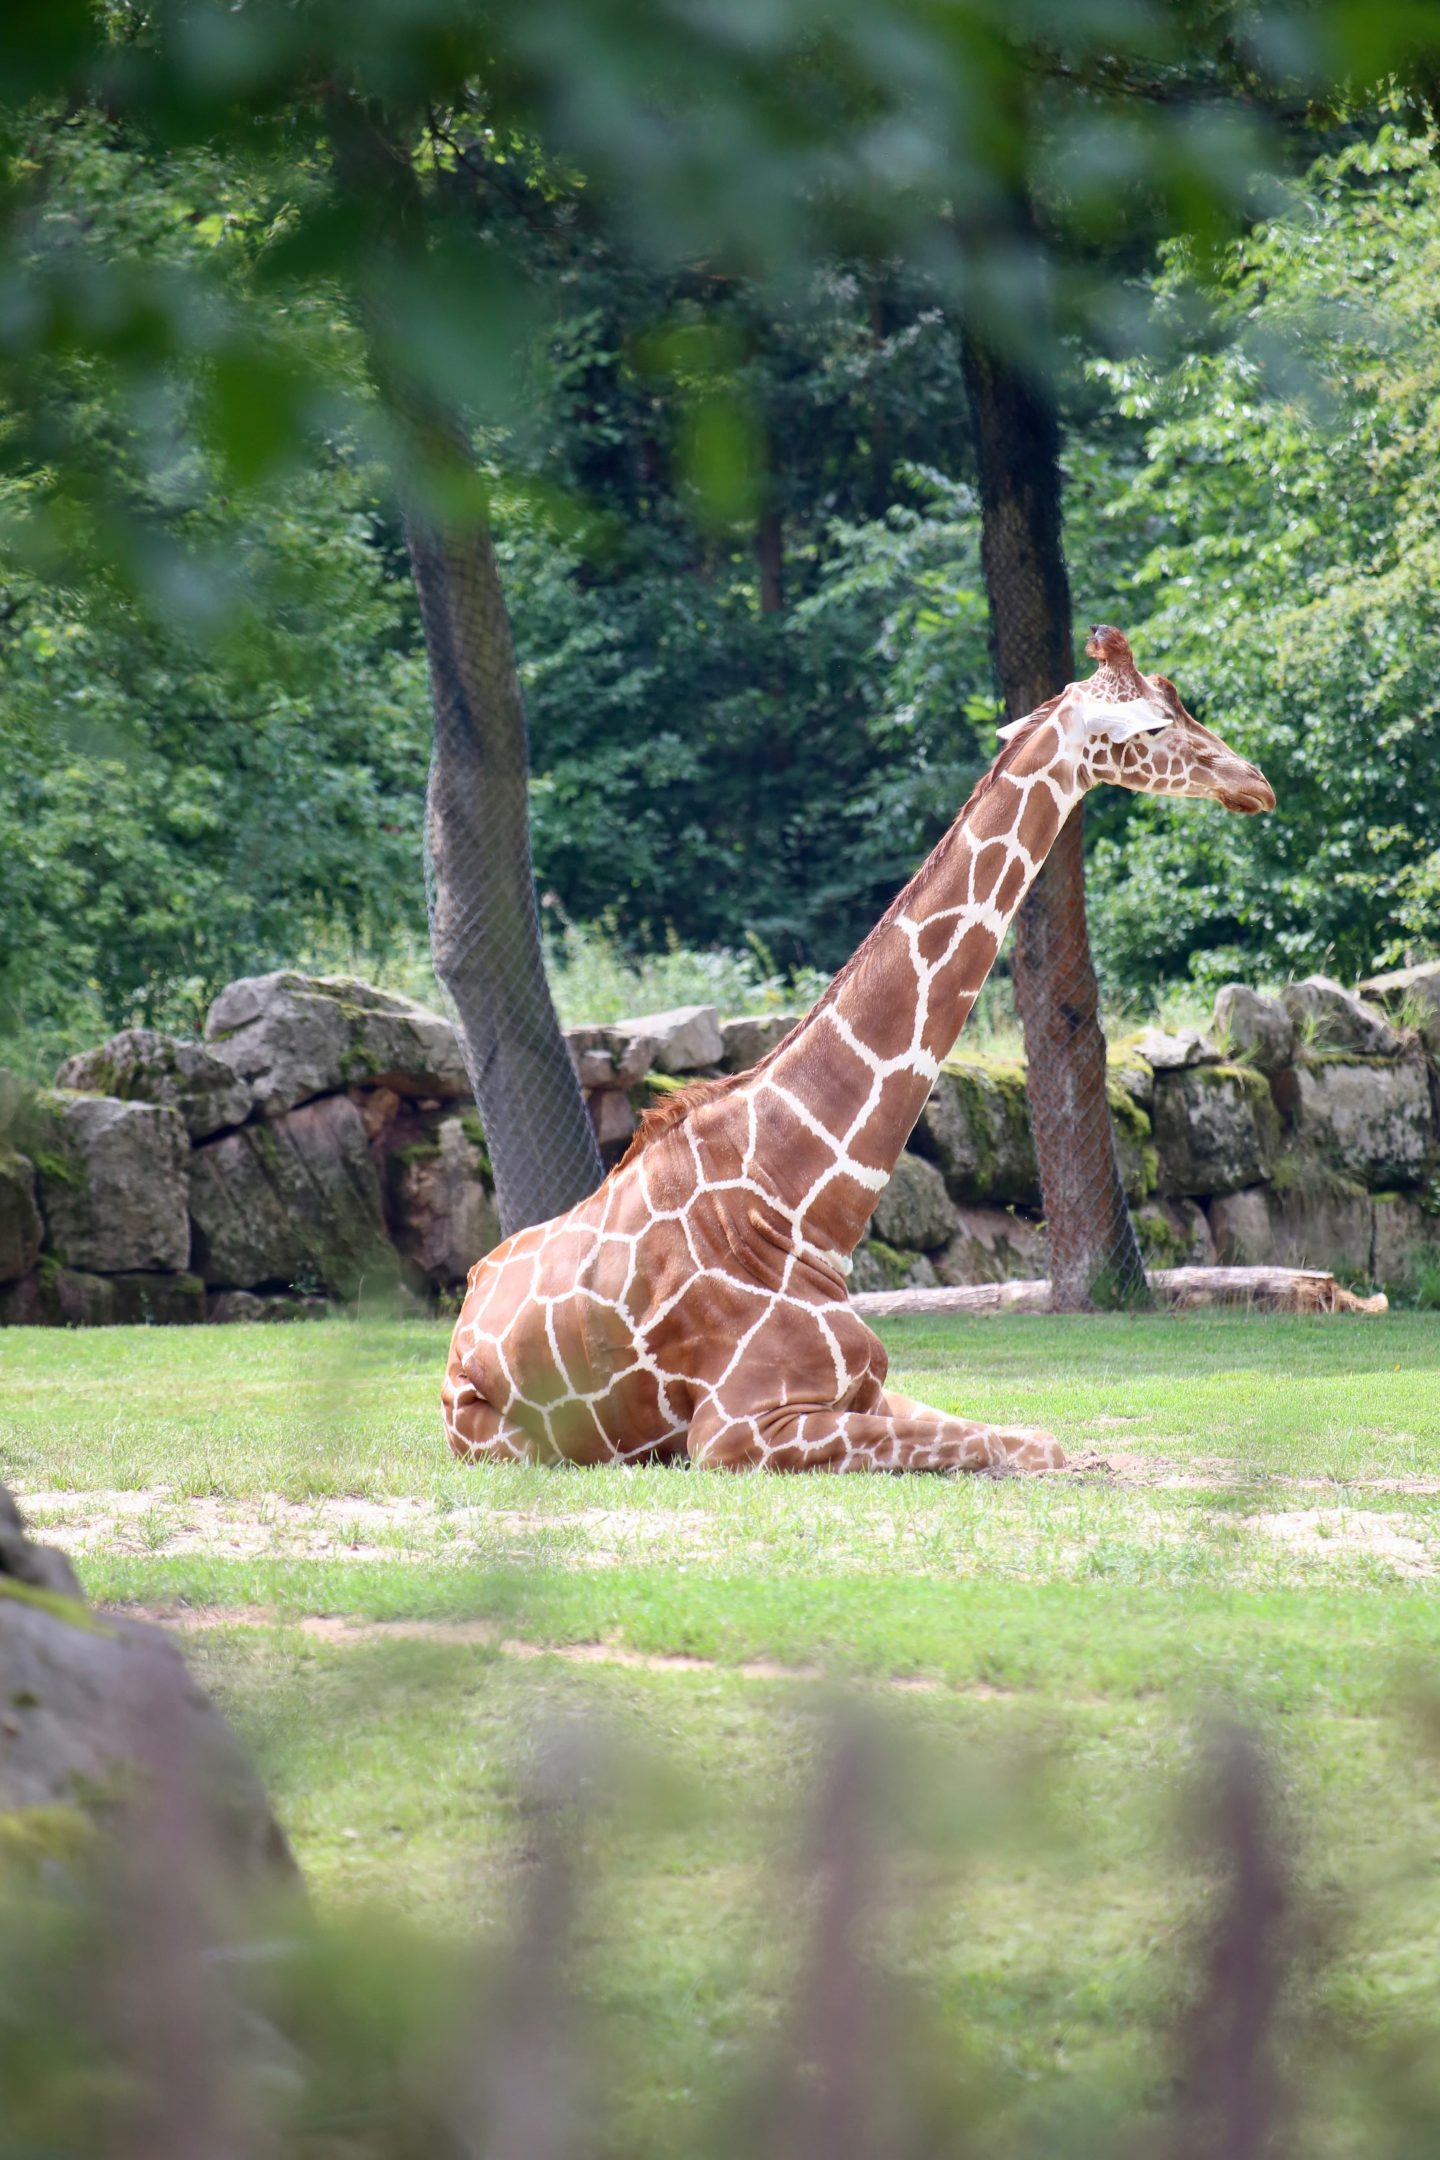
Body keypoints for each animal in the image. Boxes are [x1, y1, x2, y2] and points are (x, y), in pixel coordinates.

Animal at [443, 626, 1274, 1475]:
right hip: (505, 1442)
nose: (1256, 782)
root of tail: (461, 1327)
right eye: (1155, 725)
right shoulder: (734, 1430)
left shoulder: (866, 1389)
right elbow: (1033, 1447)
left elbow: (1031, 1436)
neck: (799, 1207)